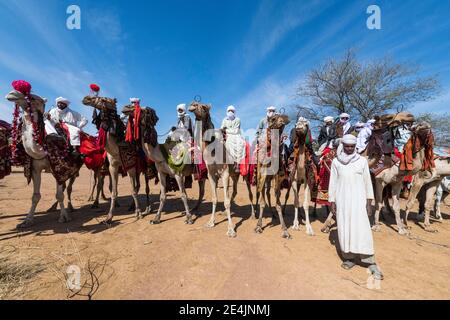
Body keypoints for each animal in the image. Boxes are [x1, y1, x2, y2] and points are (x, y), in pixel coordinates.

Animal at [5, 89, 75, 226]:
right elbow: (35, 196)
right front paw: (27, 220)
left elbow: (59, 195)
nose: (11, 94)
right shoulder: (35, 168)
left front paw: (64, 217)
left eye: (32, 97)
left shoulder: (58, 167)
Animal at [187, 102, 256, 238]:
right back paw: (224, 212)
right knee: (235, 190)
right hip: (234, 175)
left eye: (204, 107)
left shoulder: (224, 173)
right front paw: (210, 222)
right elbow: (215, 198)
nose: (192, 105)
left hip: (245, 173)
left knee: (250, 194)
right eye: (195, 104)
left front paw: (231, 230)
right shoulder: (211, 174)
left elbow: (226, 201)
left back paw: (253, 215)